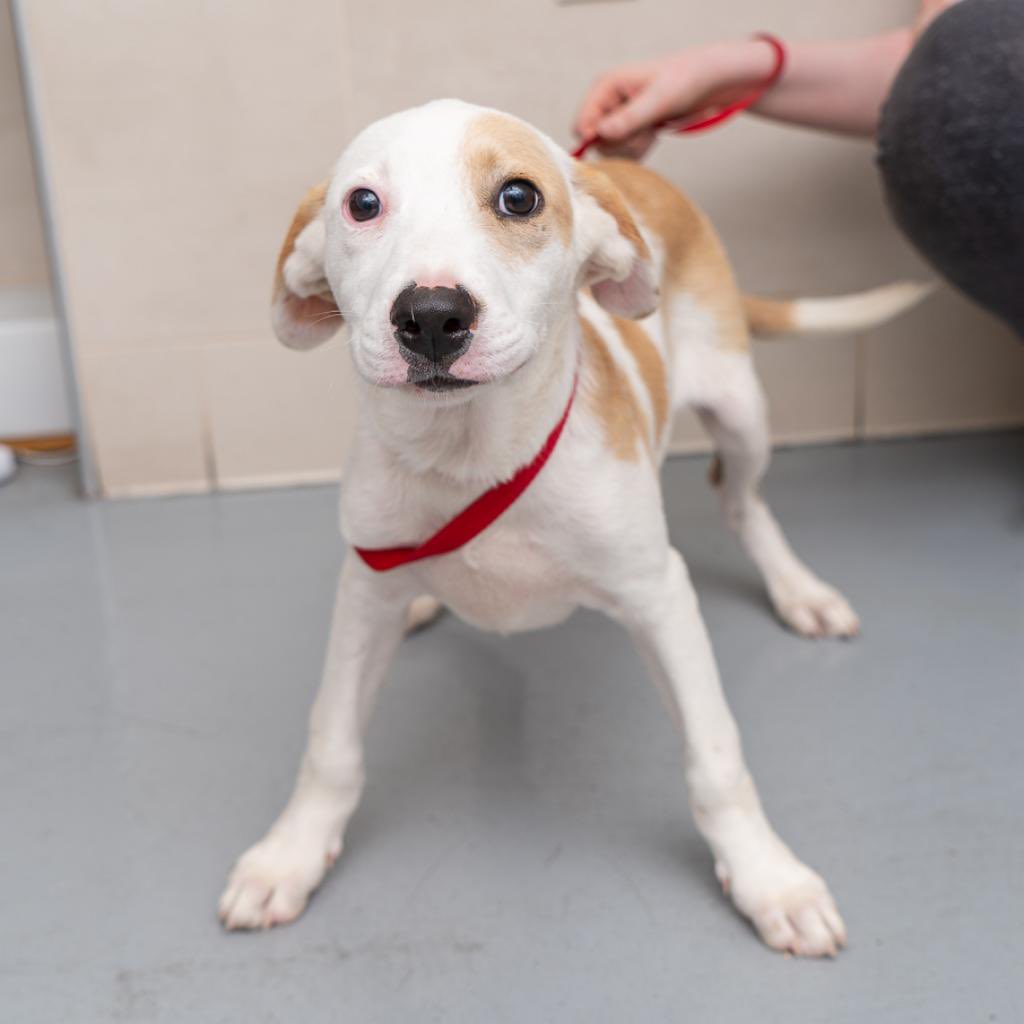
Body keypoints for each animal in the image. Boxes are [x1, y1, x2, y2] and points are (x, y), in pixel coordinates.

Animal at [218, 99, 929, 954]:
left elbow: (715, 755)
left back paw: (799, 591)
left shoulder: (660, 596)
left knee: (740, 497)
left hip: (740, 409)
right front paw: (288, 855)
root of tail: (621, 169)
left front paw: (768, 878)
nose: (431, 315)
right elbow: (331, 741)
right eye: (361, 204)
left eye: (519, 197)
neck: (473, 457)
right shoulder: (364, 593)